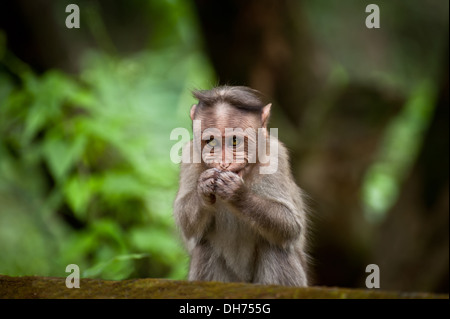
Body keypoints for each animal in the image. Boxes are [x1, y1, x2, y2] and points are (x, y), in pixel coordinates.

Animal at [173, 85, 310, 288]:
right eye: (211, 141)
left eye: (235, 141)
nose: (223, 163)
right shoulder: (190, 156)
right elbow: (185, 223)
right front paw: (204, 188)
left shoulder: (276, 156)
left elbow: (290, 224)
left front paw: (237, 194)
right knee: (204, 248)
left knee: (275, 246)